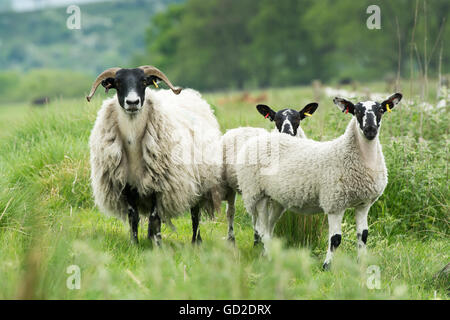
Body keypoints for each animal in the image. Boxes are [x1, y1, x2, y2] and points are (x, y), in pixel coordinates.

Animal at [86, 66, 221, 244]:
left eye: (144, 81)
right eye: (118, 82)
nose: (132, 102)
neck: (133, 141)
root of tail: (194, 95)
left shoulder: (161, 185)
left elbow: (155, 216)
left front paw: (157, 244)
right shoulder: (127, 184)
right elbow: (133, 216)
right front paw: (135, 243)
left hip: (200, 180)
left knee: (195, 213)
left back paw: (196, 241)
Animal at [220, 102, 318, 242]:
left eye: (298, 119)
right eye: (276, 119)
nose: (287, 132)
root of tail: (240, 128)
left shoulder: (277, 199)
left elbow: (271, 223)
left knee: (254, 217)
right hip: (233, 186)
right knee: (231, 212)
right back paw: (232, 238)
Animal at [237, 94, 402, 268]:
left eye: (381, 110)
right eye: (356, 111)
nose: (370, 130)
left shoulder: (364, 204)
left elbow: (363, 236)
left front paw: (362, 264)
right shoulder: (335, 203)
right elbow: (335, 239)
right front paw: (327, 266)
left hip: (276, 199)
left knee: (268, 228)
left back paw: (268, 255)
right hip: (256, 193)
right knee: (261, 230)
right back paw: (268, 257)